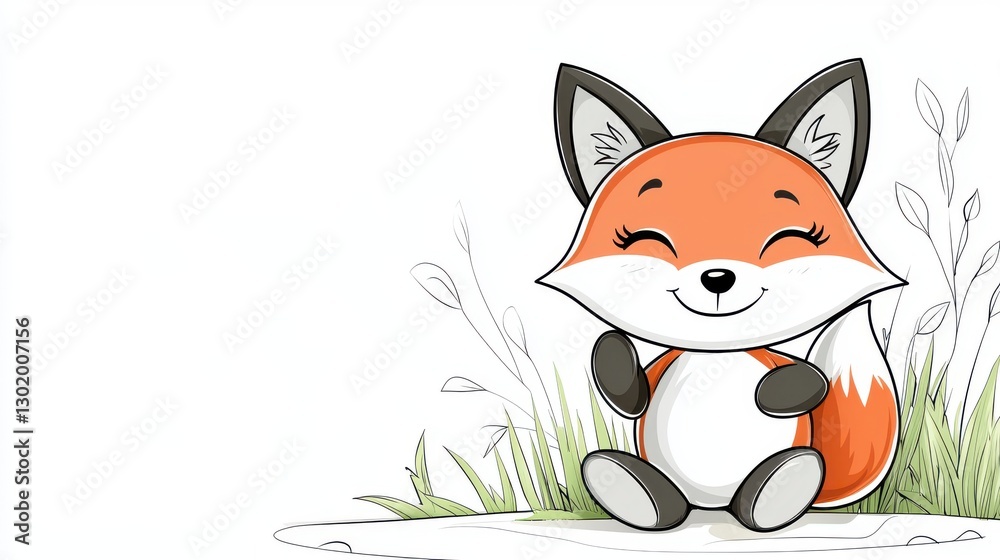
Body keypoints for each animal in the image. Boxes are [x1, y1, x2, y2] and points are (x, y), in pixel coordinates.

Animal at [537, 60, 904, 532]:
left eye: (789, 237)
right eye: (645, 238)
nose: (716, 277)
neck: (715, 354)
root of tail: (712, 507)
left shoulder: (773, 358)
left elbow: (813, 381)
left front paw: (773, 392)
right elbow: (632, 396)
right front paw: (612, 357)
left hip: (784, 463)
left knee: (784, 476)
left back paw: (773, 496)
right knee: (650, 491)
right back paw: (636, 493)